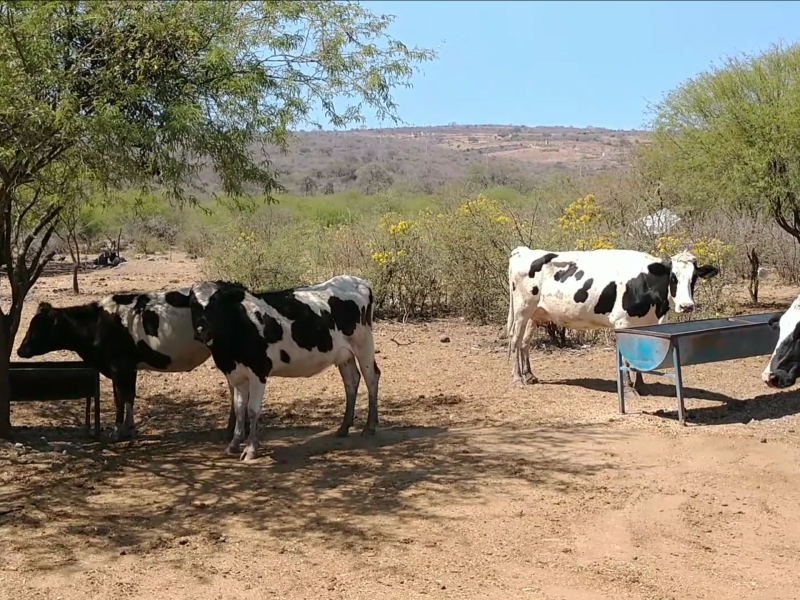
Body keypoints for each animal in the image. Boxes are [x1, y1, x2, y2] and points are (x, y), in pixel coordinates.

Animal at [16, 290, 238, 440]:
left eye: (37, 327)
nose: (19, 350)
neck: (98, 323)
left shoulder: (118, 366)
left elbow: (120, 398)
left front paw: (117, 431)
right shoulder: (129, 368)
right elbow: (129, 396)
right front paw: (129, 429)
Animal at [188, 274, 382, 462]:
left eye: (216, 304)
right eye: (192, 304)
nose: (202, 330)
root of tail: (358, 281)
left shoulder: (259, 372)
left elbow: (252, 410)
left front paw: (251, 448)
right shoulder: (236, 375)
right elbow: (239, 409)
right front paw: (234, 445)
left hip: (363, 345)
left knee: (371, 377)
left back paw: (370, 426)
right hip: (344, 354)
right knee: (351, 381)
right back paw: (344, 427)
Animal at [506, 246, 720, 396]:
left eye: (694, 278)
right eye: (673, 277)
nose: (687, 306)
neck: (645, 282)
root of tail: (523, 251)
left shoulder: (645, 324)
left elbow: (638, 356)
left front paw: (641, 386)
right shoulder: (622, 323)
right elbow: (626, 357)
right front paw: (628, 388)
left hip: (535, 314)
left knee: (525, 343)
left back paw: (529, 375)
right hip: (521, 309)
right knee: (515, 341)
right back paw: (517, 378)